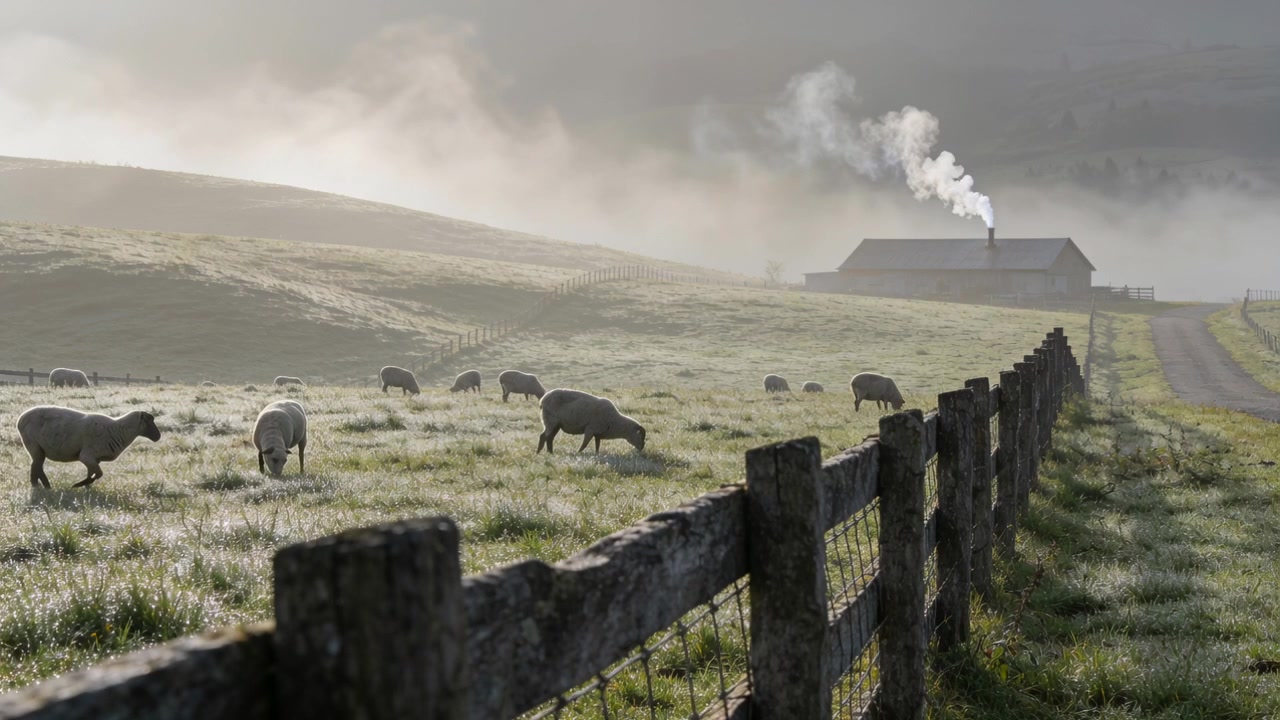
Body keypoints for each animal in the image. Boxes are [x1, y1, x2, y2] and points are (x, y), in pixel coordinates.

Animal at [17, 406, 161, 488]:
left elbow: (93, 473)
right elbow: (99, 473)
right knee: (35, 467)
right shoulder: (87, 455)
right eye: (149, 422)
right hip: (33, 445)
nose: (158, 437)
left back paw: (46, 486)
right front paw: (79, 484)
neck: (118, 429)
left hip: (39, 449)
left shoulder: (94, 459)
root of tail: (20, 419)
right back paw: (39, 487)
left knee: (37, 467)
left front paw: (87, 486)